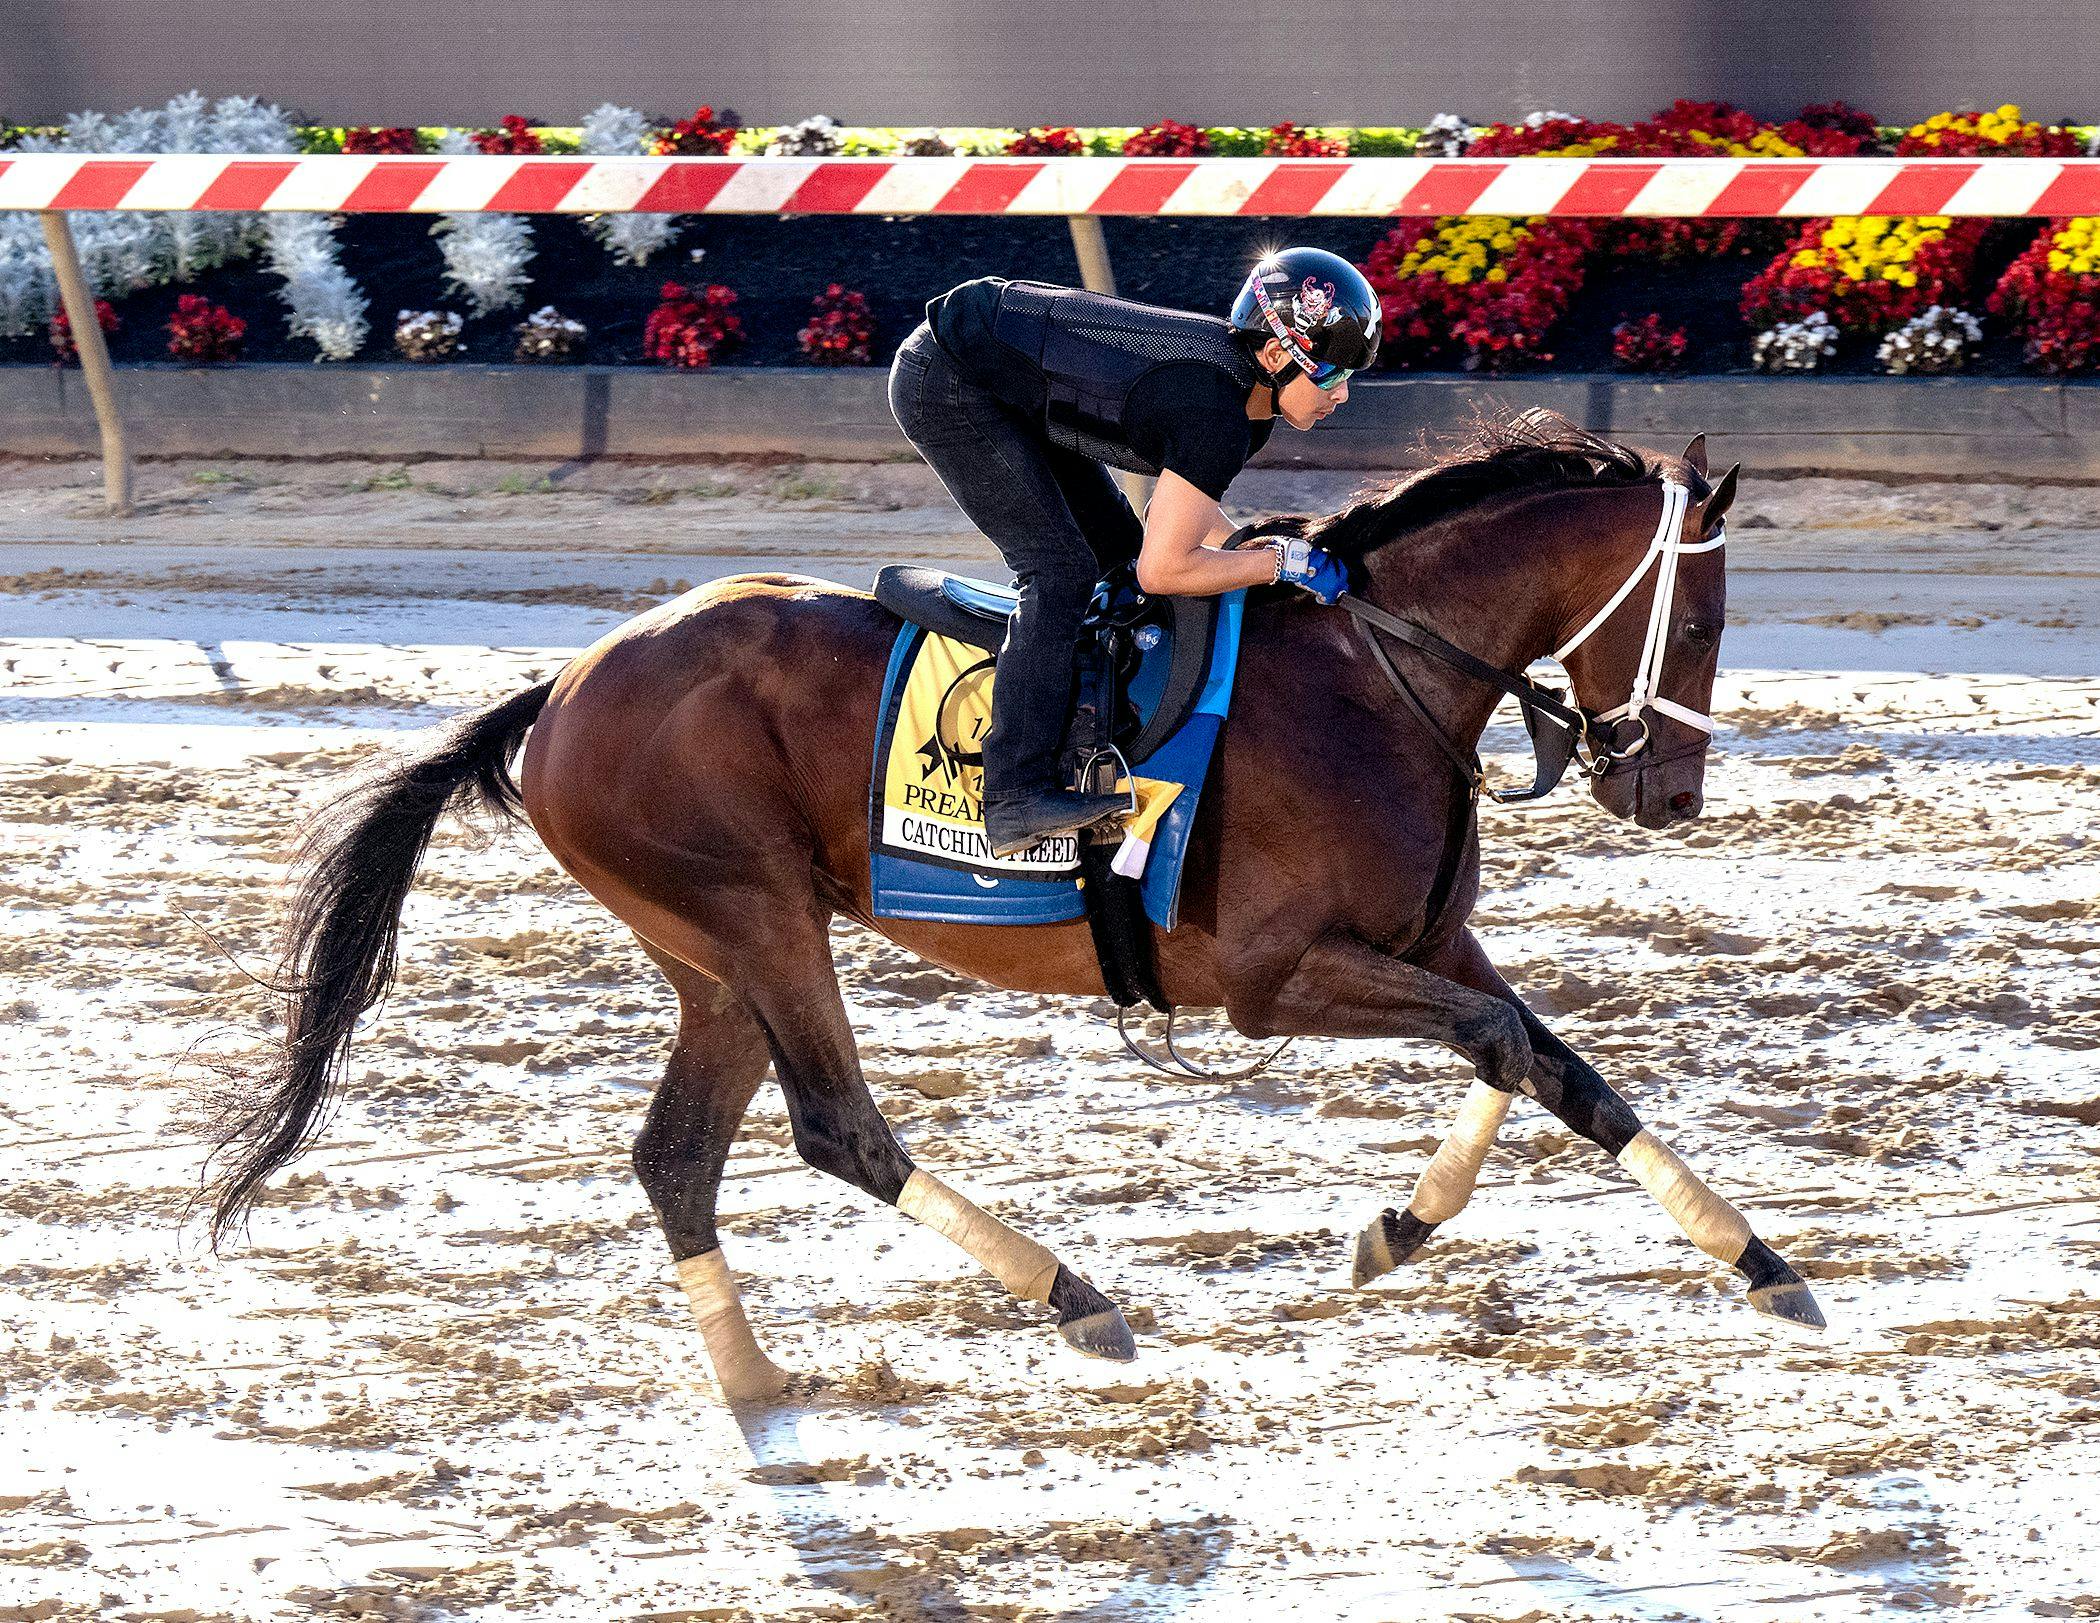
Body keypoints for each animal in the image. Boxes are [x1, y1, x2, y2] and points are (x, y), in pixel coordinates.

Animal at [204, 411, 1831, 1402]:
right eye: (1702, 618)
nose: (1670, 792)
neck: (1378, 674)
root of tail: (561, 687)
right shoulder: (1274, 978)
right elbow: (1502, 1043)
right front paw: (1410, 1227)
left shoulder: (1424, 938)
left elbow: (1551, 1061)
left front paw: (1753, 1261)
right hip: (756, 912)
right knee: (836, 1127)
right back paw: (1070, 1294)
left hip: (708, 953)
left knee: (676, 1155)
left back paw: (754, 1381)